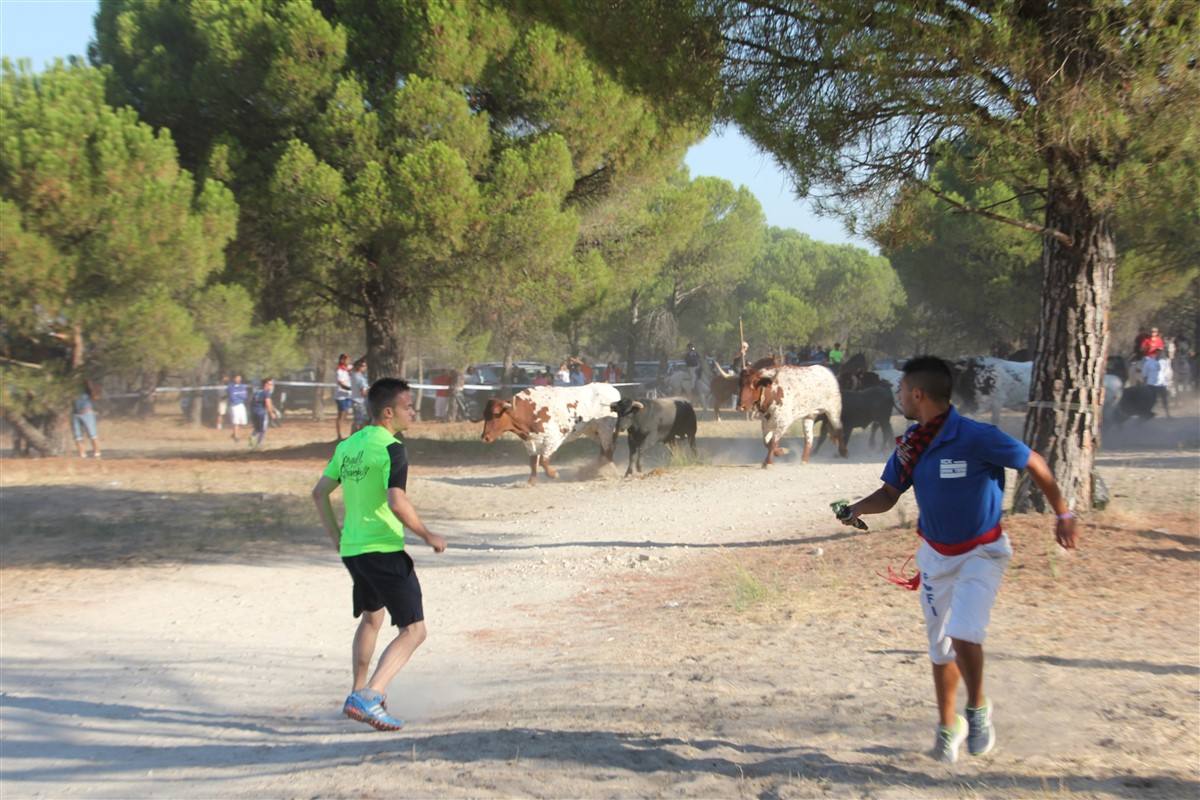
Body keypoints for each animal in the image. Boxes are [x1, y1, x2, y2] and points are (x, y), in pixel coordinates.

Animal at [477, 383, 619, 484]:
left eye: (495, 414)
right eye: (484, 414)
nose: (485, 437)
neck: (529, 411)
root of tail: (612, 389)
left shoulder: (553, 439)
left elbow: (543, 461)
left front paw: (553, 474)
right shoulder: (530, 442)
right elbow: (533, 462)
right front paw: (531, 481)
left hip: (606, 429)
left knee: (608, 450)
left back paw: (604, 471)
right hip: (594, 431)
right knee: (604, 450)